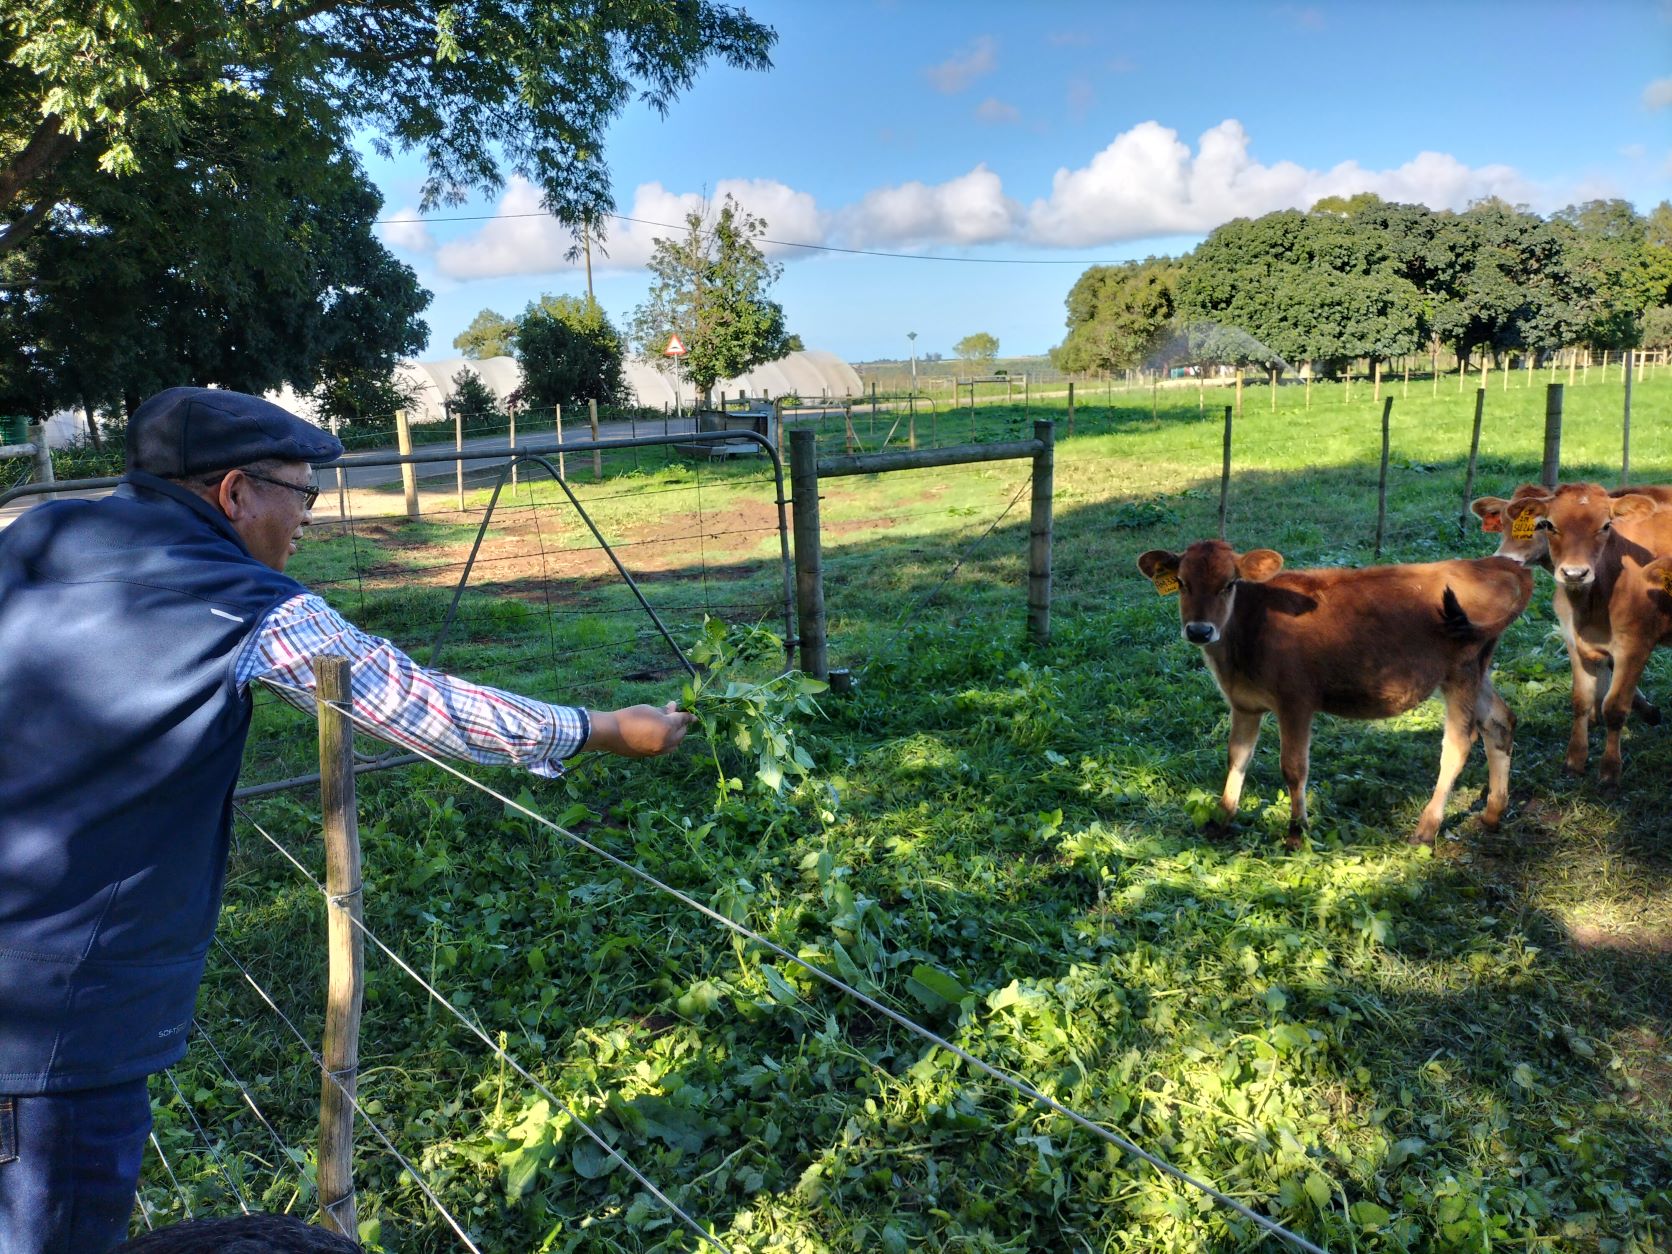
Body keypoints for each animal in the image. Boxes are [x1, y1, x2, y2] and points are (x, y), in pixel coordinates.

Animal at [1136, 541, 1531, 846]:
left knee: (1459, 744)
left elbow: (1294, 767)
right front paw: (1221, 818)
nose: (1199, 630)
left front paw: (1297, 833)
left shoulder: (1296, 701)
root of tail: (1492, 563)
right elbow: (1237, 757)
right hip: (1477, 670)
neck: (1251, 626)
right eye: (1182, 582)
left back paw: (1426, 828)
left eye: (1230, 583)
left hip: (1461, 671)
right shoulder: (1244, 704)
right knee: (1500, 722)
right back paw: (1493, 812)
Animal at [1504, 484, 1672, 782]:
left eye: (1606, 525)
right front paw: (1575, 761)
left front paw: (1609, 771)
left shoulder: (1635, 645)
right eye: (1548, 524)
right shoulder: (1575, 643)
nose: (1574, 573)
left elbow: (1614, 707)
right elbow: (1580, 701)